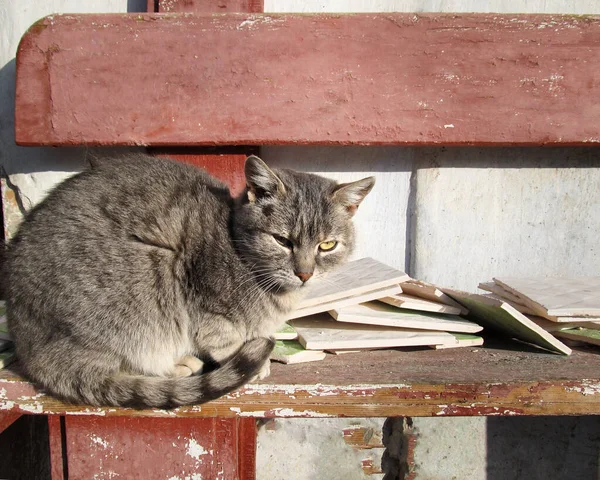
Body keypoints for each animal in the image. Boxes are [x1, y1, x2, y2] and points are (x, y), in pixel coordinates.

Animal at [4, 155, 376, 408]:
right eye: (282, 240)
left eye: (327, 245)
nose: (304, 273)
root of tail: (30, 351)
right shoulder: (205, 301)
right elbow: (223, 339)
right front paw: (256, 361)